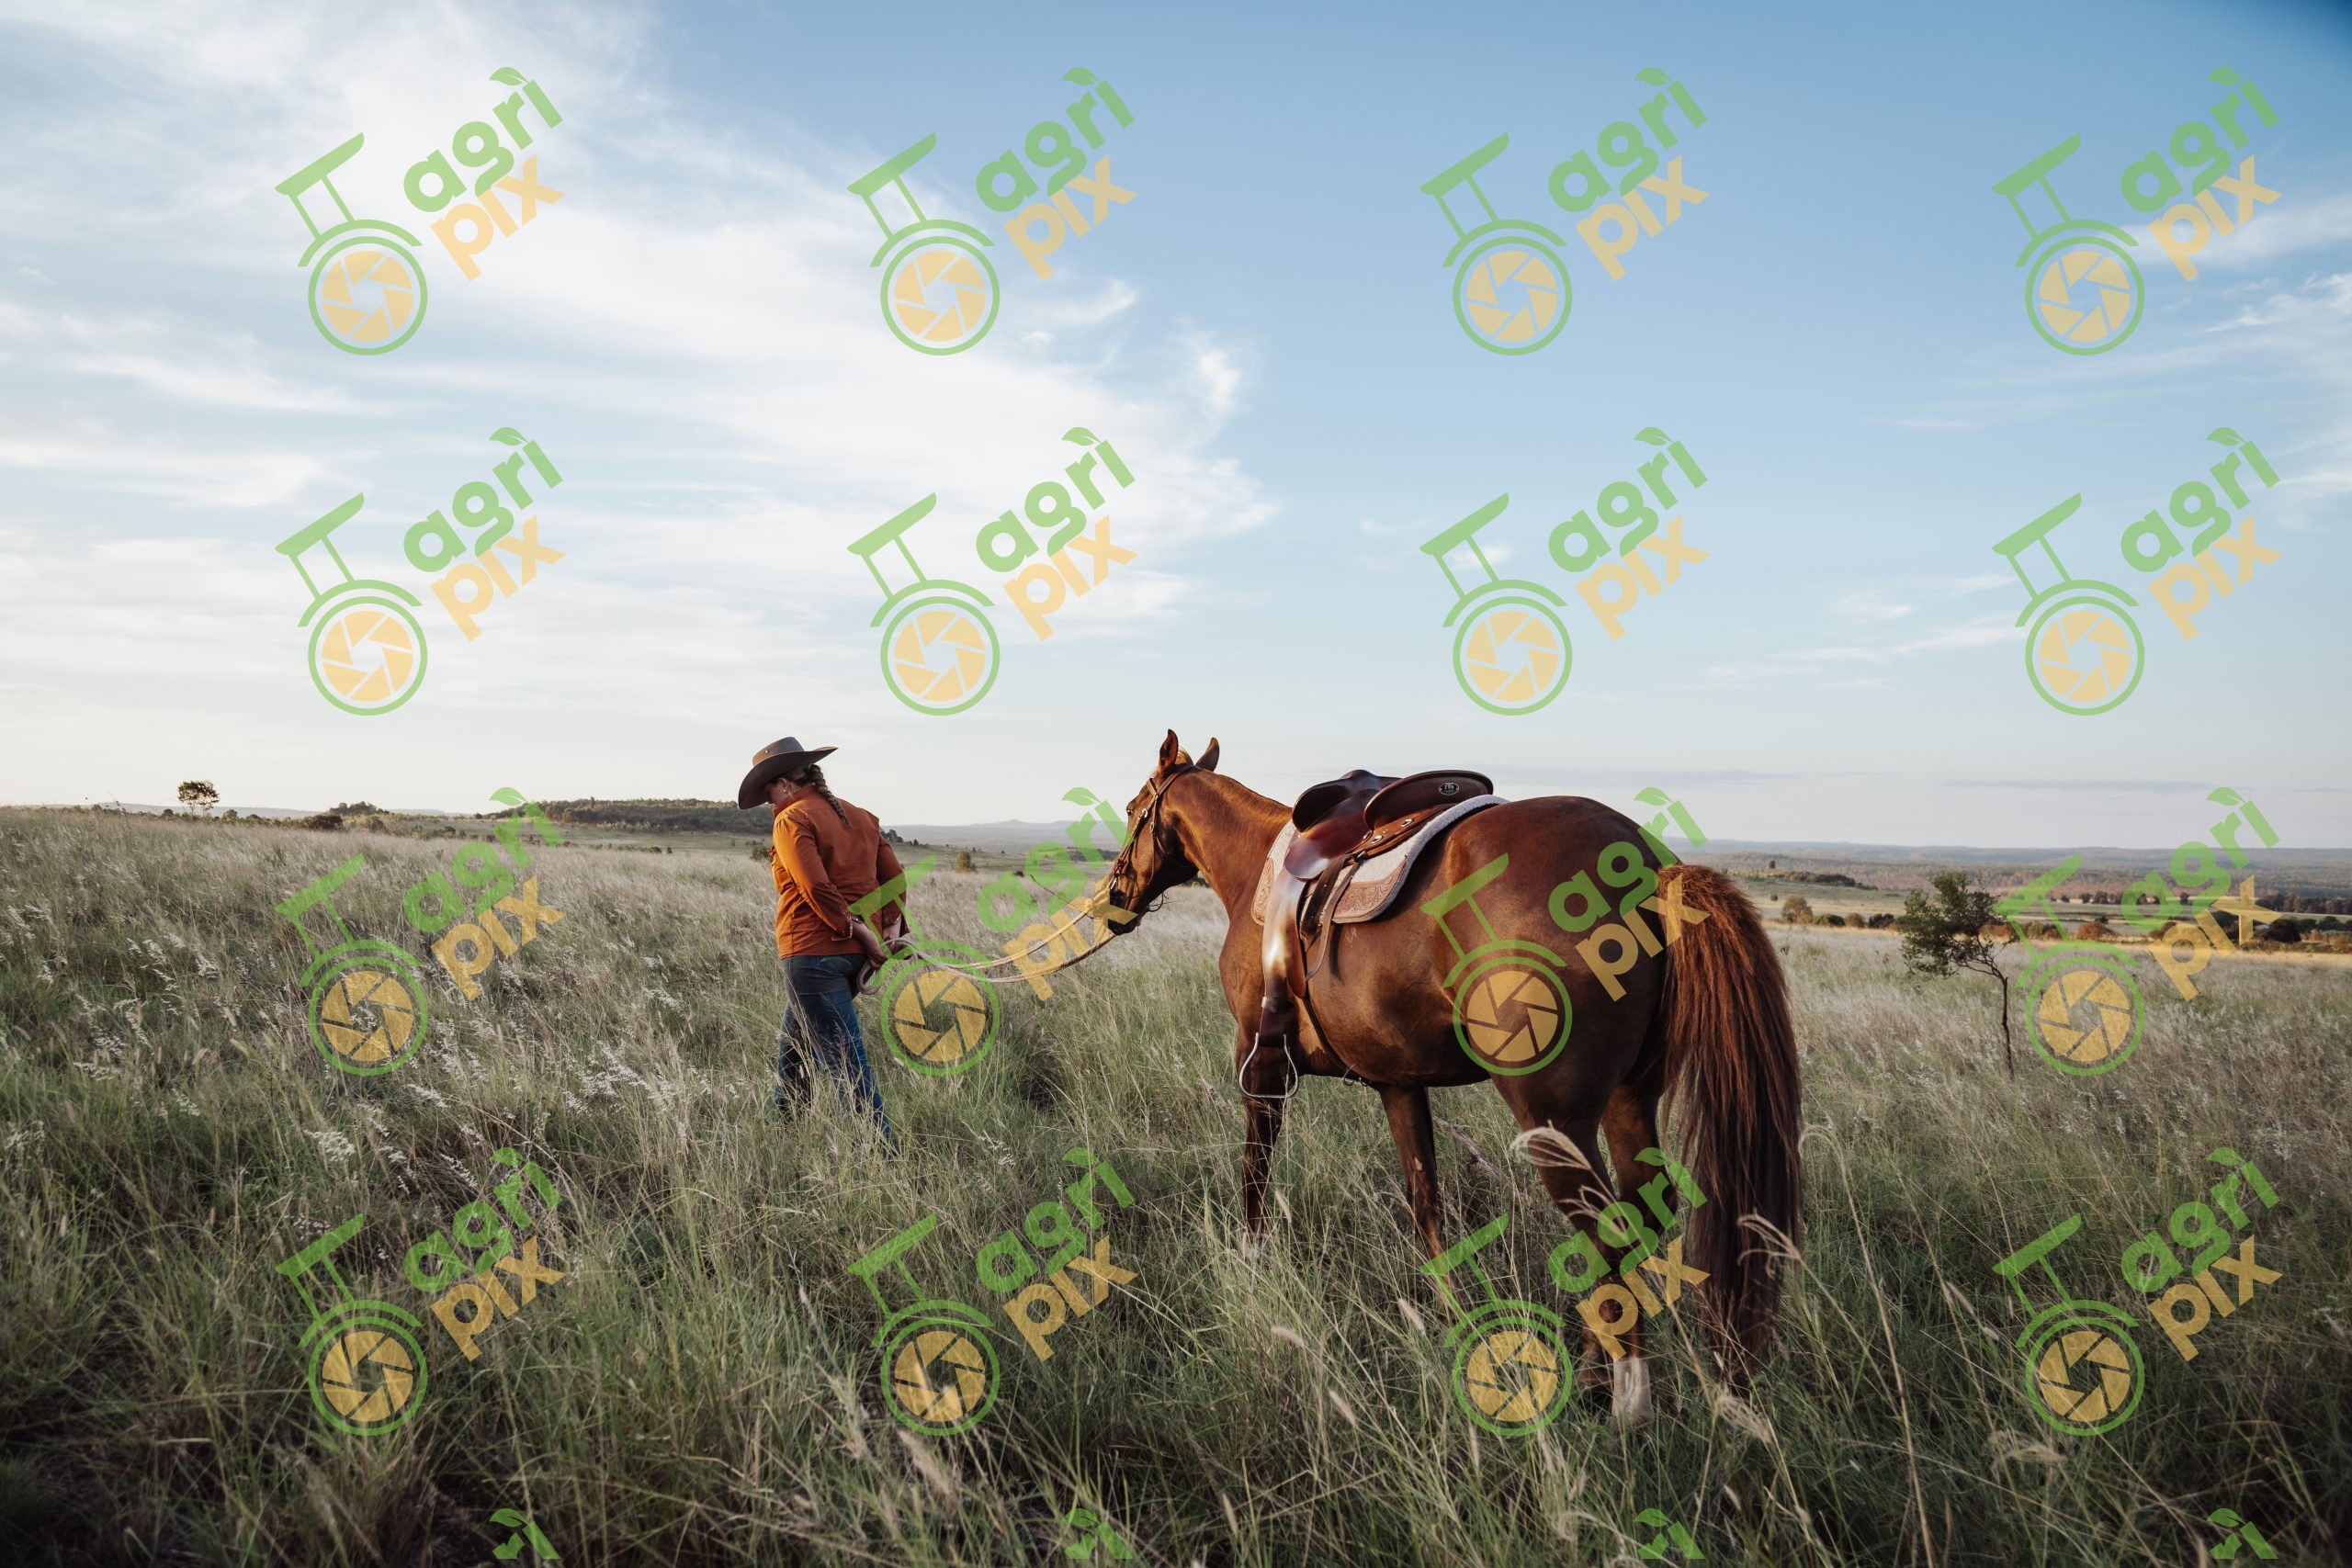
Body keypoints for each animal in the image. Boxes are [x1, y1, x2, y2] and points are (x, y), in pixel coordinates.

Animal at [1095, 731, 1802, 1423]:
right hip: (1629, 1099)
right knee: (1638, 1216)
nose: (1115, 898)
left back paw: (1627, 1396)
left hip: (1552, 1116)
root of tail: (1650, 866)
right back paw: (1596, 1375)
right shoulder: (1398, 1082)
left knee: (1608, 1229)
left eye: (1131, 809)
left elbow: (1255, 1173)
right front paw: (1449, 1311)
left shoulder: (1261, 1060)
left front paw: (1252, 1262)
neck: (1258, 874)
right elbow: (1425, 1200)